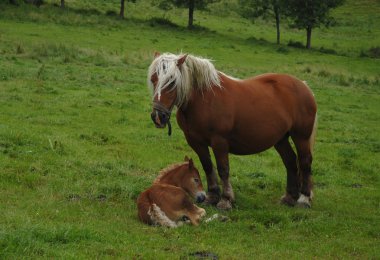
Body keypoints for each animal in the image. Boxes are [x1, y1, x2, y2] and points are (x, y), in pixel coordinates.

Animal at [148, 52, 318, 209]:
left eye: (172, 82)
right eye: (153, 79)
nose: (158, 116)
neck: (203, 100)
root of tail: (303, 86)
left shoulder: (219, 141)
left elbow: (223, 169)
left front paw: (226, 199)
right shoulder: (195, 141)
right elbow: (207, 166)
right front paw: (212, 196)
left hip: (301, 136)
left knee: (304, 162)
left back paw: (304, 198)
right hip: (281, 139)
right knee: (290, 161)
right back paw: (289, 197)